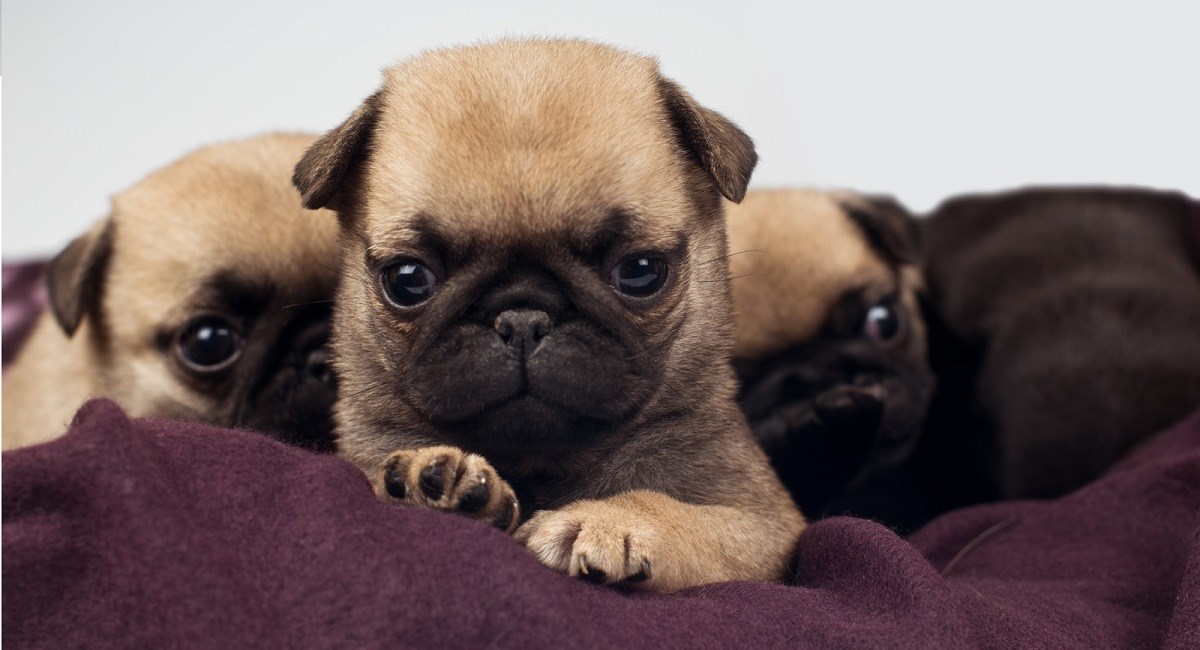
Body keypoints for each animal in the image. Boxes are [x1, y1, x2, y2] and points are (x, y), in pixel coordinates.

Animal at [291, 38, 801, 594]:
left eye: (640, 271)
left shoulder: (764, 524)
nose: (522, 319)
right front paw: (433, 480)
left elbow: (681, 514)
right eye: (408, 279)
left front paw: (607, 521)